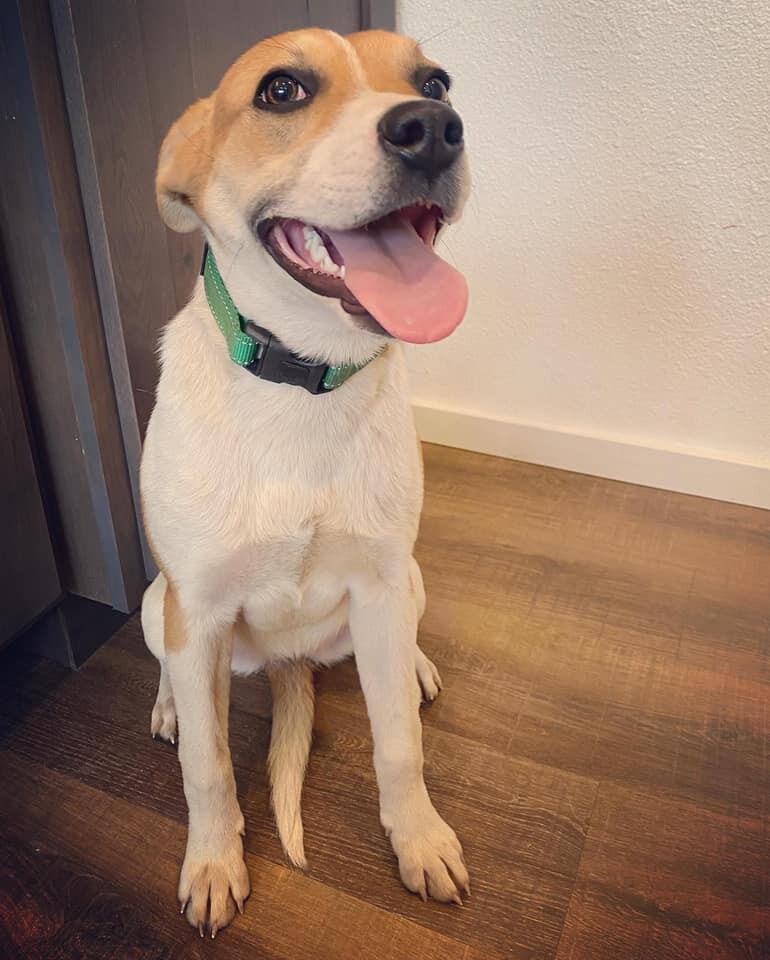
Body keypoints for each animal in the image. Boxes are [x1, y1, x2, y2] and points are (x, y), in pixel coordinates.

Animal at [140, 27, 471, 937]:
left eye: (437, 81)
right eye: (281, 90)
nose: (434, 130)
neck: (302, 386)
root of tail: (289, 663)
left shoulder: (382, 583)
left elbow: (399, 746)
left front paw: (418, 840)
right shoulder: (197, 608)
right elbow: (210, 767)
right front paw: (214, 862)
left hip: (408, 582)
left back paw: (415, 669)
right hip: (155, 605)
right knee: (176, 673)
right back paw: (172, 705)